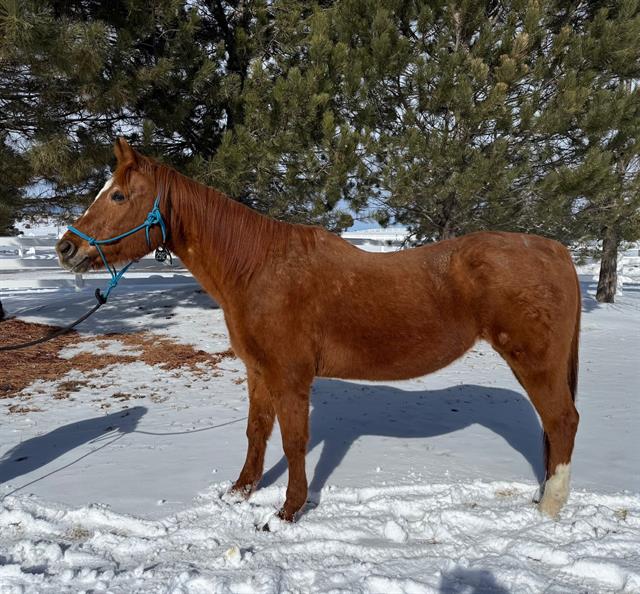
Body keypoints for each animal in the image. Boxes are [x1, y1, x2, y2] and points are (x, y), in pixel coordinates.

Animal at [57, 136, 584, 520]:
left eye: (118, 194)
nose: (66, 248)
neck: (259, 268)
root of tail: (555, 250)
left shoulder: (291, 377)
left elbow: (294, 442)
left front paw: (287, 512)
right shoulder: (259, 372)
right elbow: (256, 432)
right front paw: (241, 492)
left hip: (535, 364)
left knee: (562, 421)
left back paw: (549, 507)